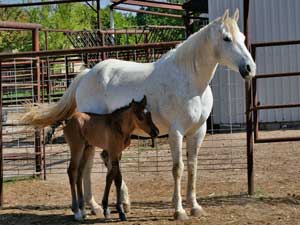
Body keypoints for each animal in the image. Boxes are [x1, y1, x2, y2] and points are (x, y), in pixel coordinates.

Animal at [22, 9, 255, 221]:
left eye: (243, 38)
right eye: (226, 38)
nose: (249, 68)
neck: (189, 81)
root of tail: (86, 74)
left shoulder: (198, 131)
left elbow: (192, 167)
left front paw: (195, 206)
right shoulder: (176, 132)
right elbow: (178, 168)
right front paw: (179, 210)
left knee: (95, 164)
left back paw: (104, 205)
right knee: (87, 166)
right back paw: (94, 206)